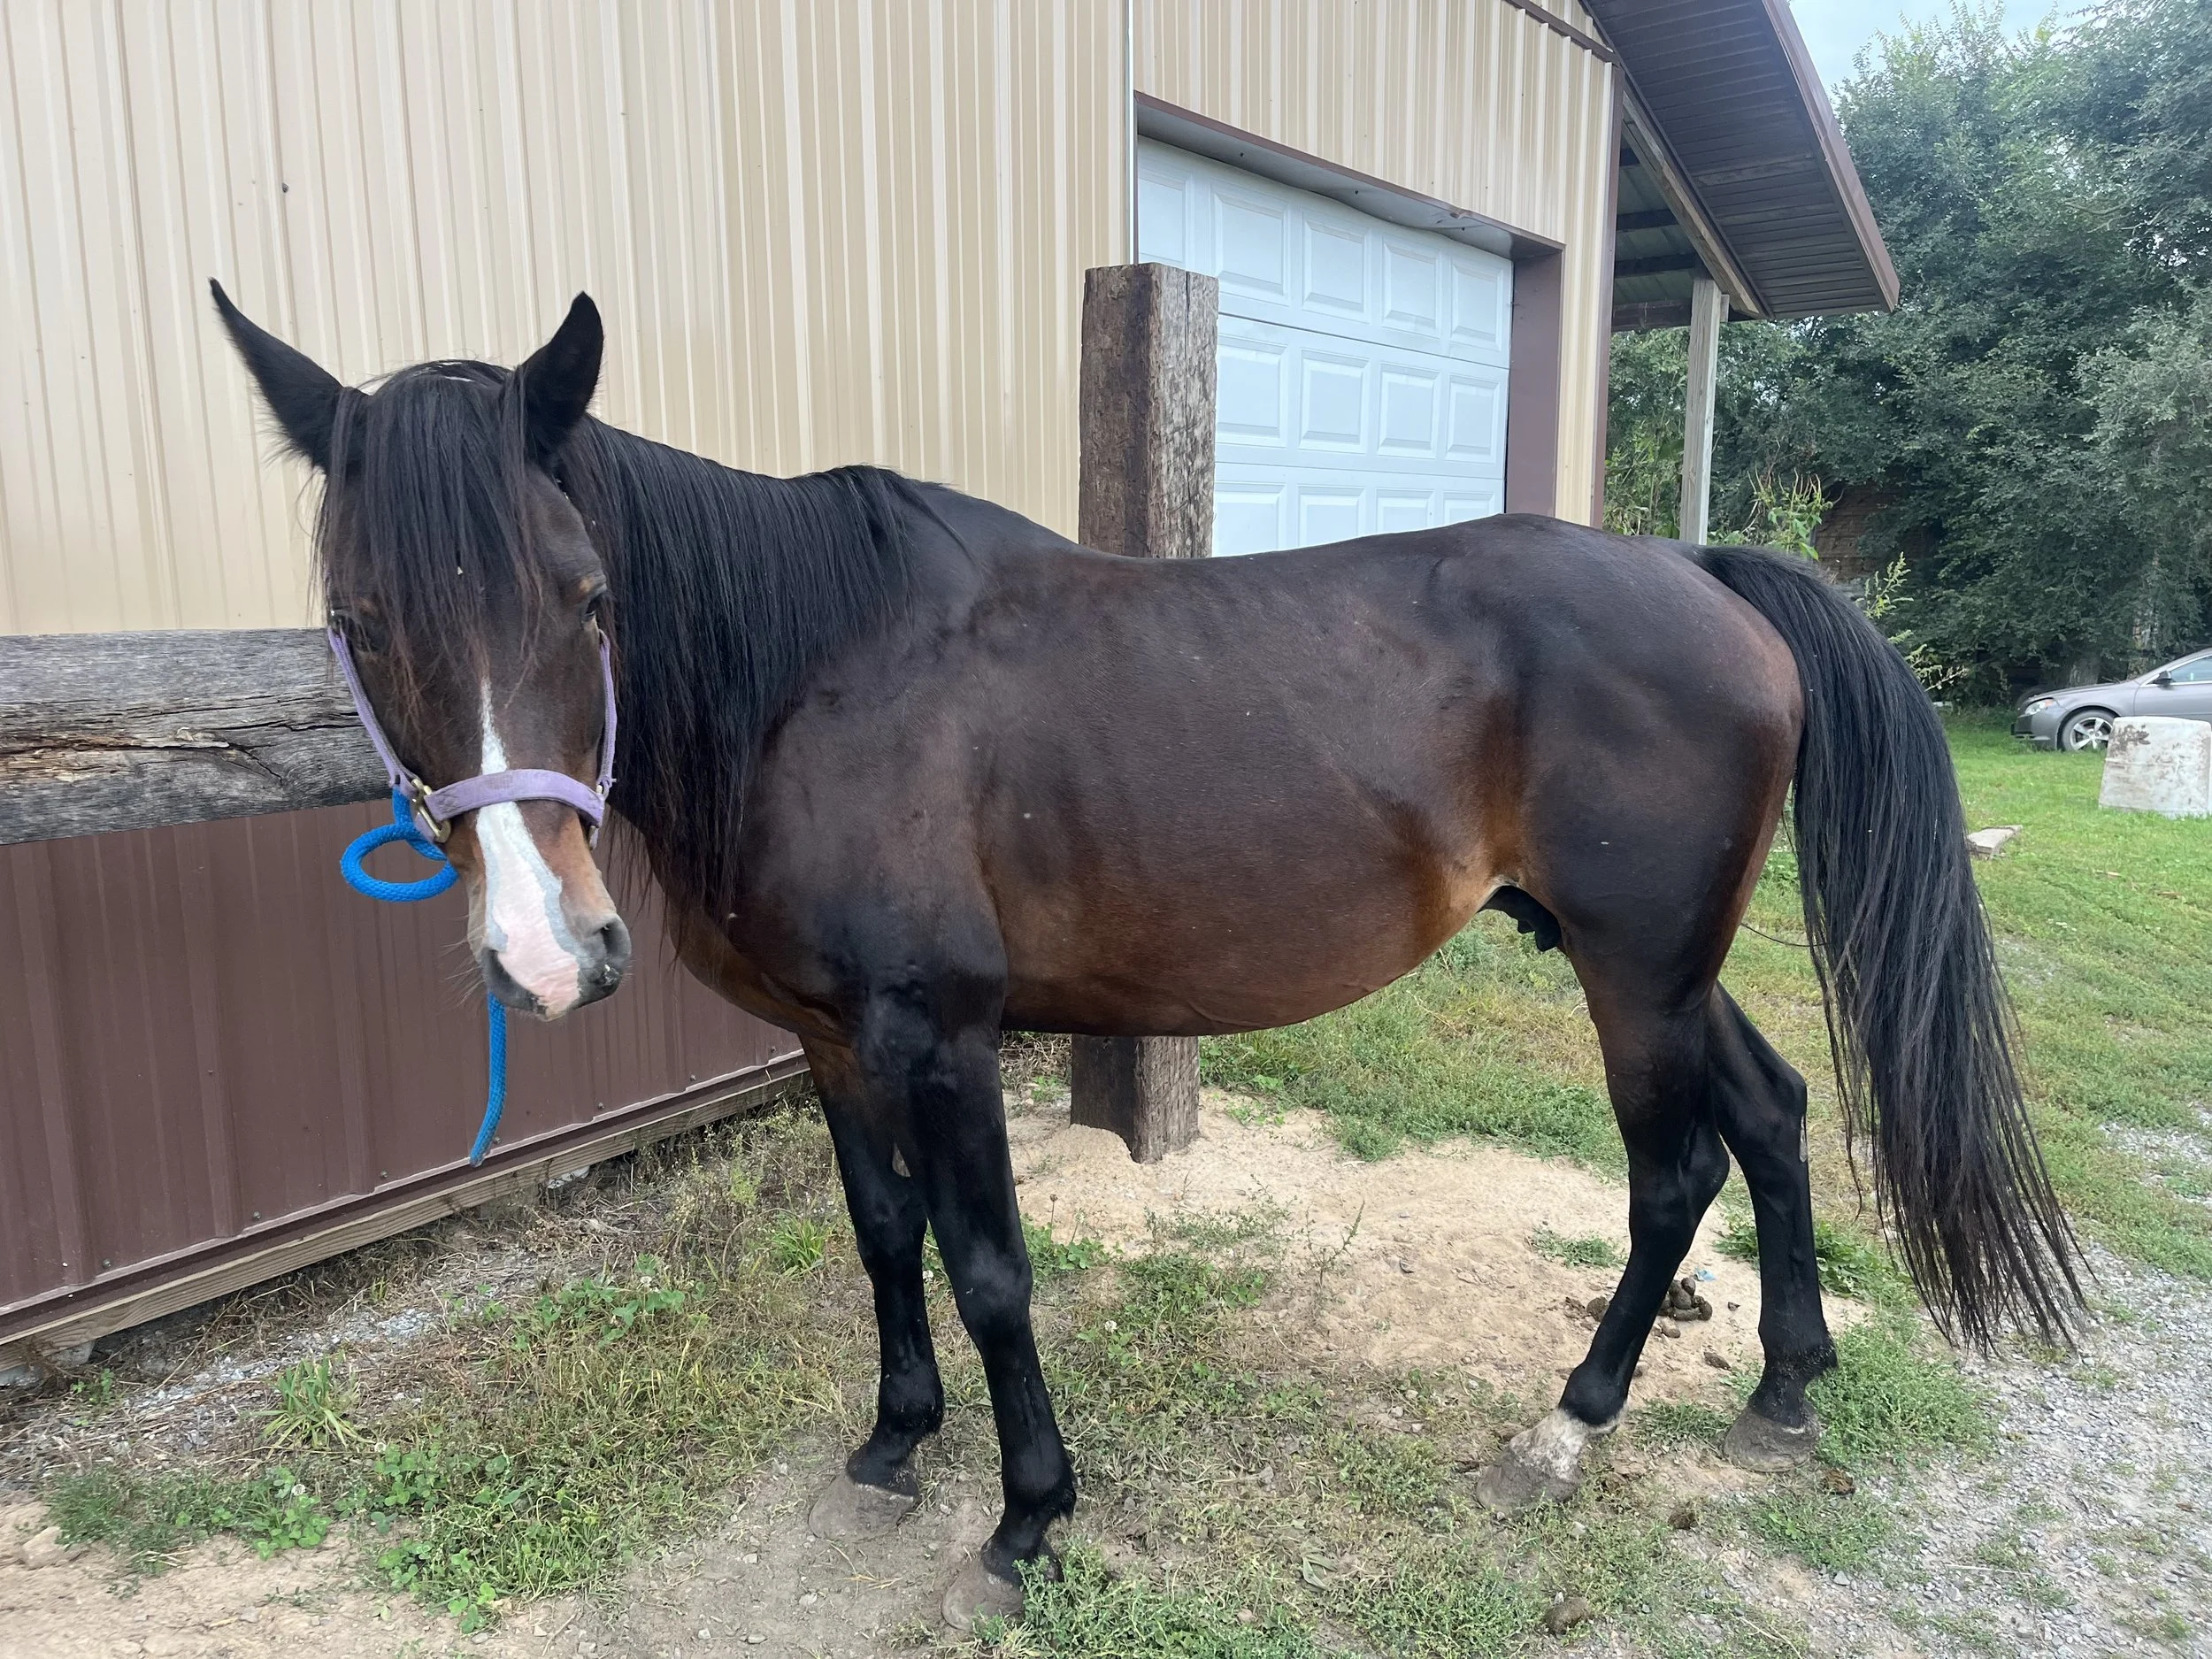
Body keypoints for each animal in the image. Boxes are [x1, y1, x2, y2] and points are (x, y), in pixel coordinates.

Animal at [211, 284, 2078, 1625]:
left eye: (588, 599)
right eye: (359, 619)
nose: (550, 951)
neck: (816, 677)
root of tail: (1700, 570)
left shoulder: (944, 1037)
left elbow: (990, 1271)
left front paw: (1028, 1520)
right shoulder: (833, 1041)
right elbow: (883, 1239)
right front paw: (893, 1446)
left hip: (1635, 976)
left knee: (1678, 1172)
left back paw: (1564, 1430)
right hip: (1657, 965)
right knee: (1770, 1117)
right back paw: (1784, 1387)